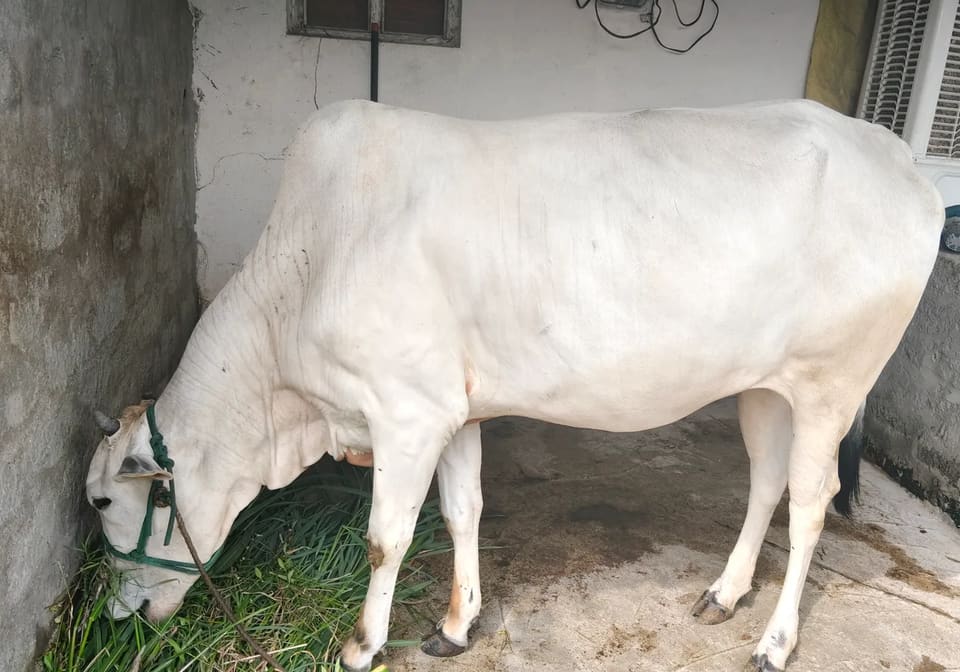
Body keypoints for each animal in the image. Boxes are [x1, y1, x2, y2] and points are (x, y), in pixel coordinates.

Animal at [85, 98, 943, 672]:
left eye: (100, 502)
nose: (117, 615)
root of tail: (896, 156)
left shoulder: (405, 413)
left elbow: (384, 539)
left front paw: (362, 644)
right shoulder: (452, 411)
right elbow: (462, 511)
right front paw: (455, 626)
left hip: (832, 384)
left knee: (810, 506)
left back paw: (774, 641)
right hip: (766, 386)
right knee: (767, 482)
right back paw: (726, 593)